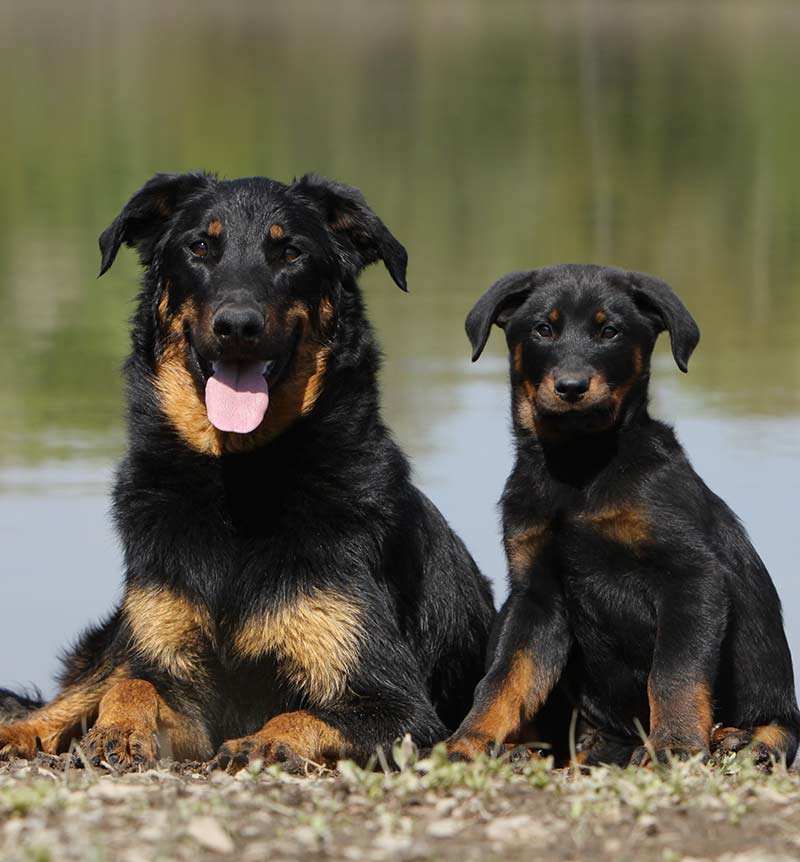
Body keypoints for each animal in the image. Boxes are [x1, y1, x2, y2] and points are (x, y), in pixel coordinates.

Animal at [0, 174, 494, 768]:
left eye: (291, 252)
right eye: (199, 247)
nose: (237, 326)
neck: (239, 481)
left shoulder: (401, 710)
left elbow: (303, 715)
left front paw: (265, 741)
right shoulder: (174, 672)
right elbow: (134, 685)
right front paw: (120, 730)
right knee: (78, 692)